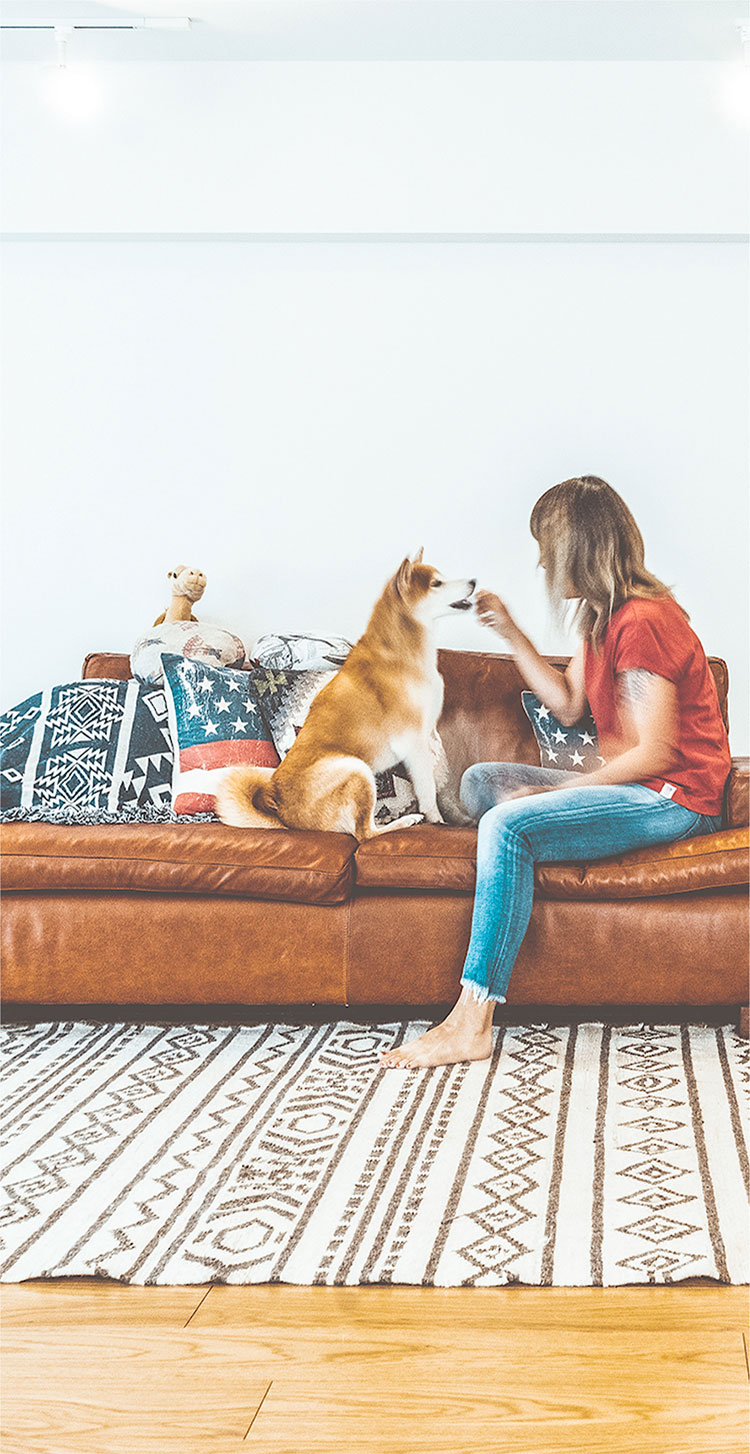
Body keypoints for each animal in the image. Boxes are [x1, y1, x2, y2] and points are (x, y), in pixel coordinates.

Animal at [213, 546, 476, 843]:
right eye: (437, 584)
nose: (474, 582)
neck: (402, 652)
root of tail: (283, 813)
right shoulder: (413, 741)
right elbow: (428, 789)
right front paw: (437, 820)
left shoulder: (427, 736)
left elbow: (438, 783)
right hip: (356, 769)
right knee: (364, 833)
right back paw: (406, 821)